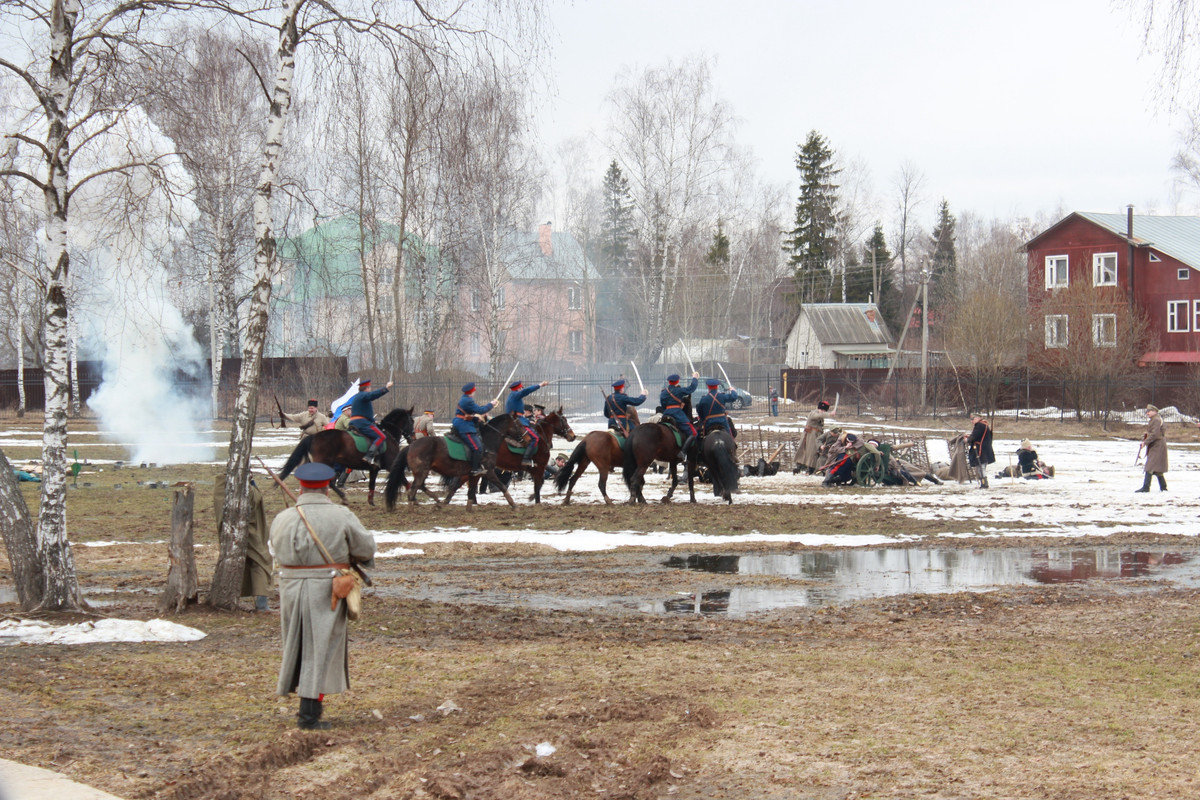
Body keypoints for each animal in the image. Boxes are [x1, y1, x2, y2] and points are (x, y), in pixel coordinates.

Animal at [278, 407, 415, 506]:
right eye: (412, 421)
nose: (412, 438)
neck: (388, 435)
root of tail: (314, 436)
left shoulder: (374, 469)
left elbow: (372, 485)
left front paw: (371, 502)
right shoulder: (391, 466)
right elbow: (404, 480)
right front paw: (412, 497)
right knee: (328, 482)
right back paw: (341, 497)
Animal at [379, 410, 520, 510]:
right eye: (519, 424)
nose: (523, 437)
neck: (486, 442)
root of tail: (411, 446)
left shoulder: (472, 474)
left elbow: (463, 490)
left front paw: (465, 507)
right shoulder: (488, 472)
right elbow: (502, 486)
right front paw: (513, 505)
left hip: (421, 472)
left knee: (419, 487)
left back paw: (434, 501)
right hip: (422, 472)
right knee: (413, 490)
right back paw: (412, 508)